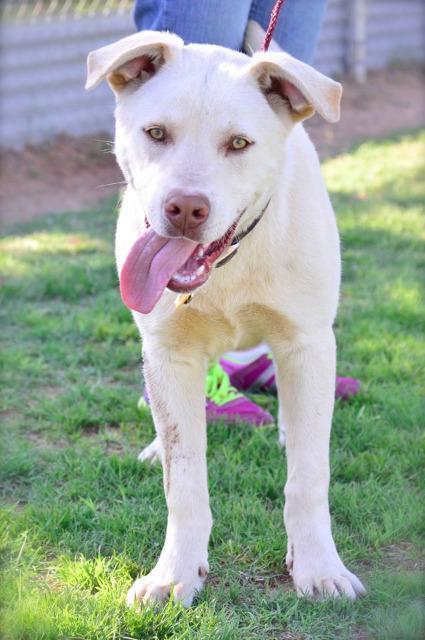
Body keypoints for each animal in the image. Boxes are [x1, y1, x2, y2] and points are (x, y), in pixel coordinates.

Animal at [85, 31, 364, 604]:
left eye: (239, 144)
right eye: (156, 133)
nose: (185, 209)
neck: (228, 262)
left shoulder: (307, 344)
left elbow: (309, 475)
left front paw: (319, 567)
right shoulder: (169, 354)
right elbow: (184, 478)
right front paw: (174, 574)